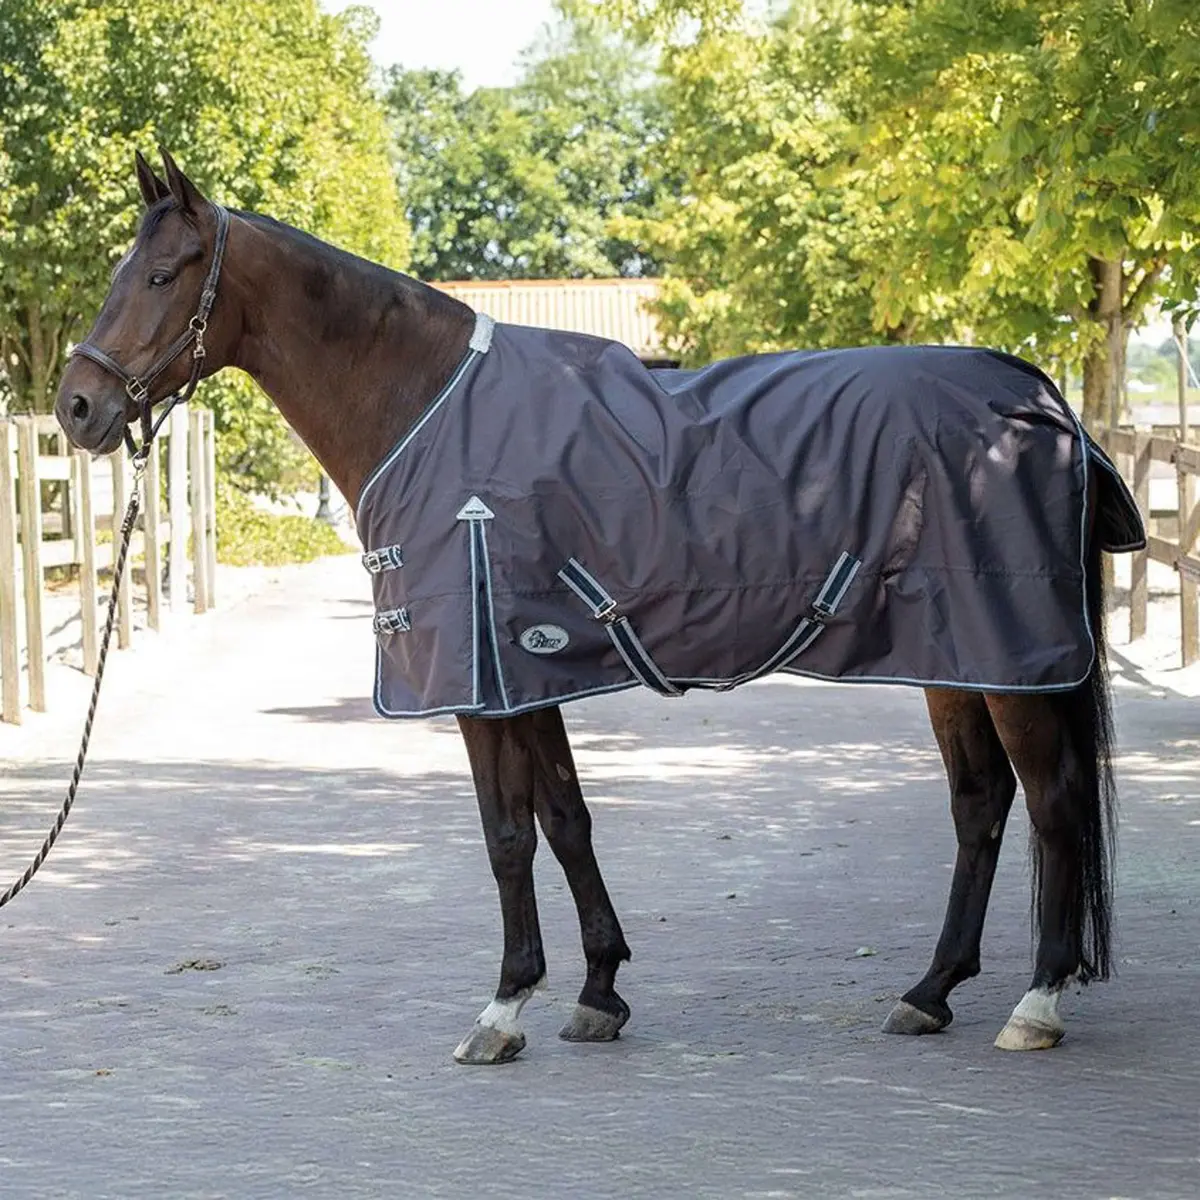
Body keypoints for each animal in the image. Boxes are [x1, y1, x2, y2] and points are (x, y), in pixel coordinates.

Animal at [55, 151, 1141, 1064]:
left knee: (1052, 804)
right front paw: (598, 992)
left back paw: (1035, 1002)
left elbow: (506, 835)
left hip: (1014, 659)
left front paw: (503, 1009)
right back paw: (929, 990)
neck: (427, 406)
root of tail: (1041, 400)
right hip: (954, 658)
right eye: (119, 270)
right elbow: (567, 820)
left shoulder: (480, 678)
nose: (76, 407)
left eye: (165, 274)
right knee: (980, 804)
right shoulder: (526, 671)